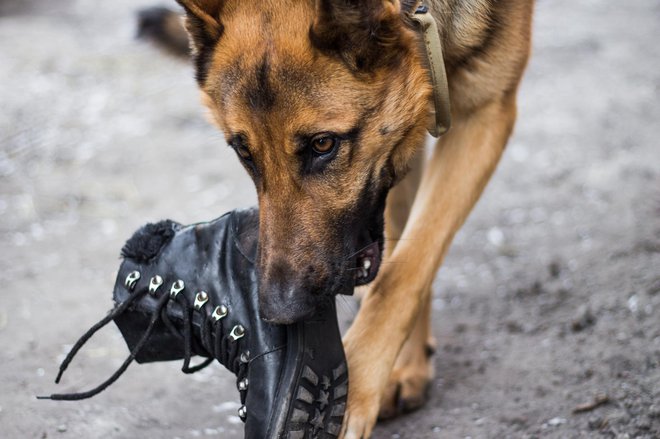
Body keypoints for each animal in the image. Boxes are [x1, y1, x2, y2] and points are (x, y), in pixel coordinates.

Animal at [161, 0, 536, 436]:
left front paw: (351, 391)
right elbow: (401, 245)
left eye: (323, 144)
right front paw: (406, 364)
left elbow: (408, 268)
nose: (279, 311)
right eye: (244, 152)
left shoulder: (484, 113)